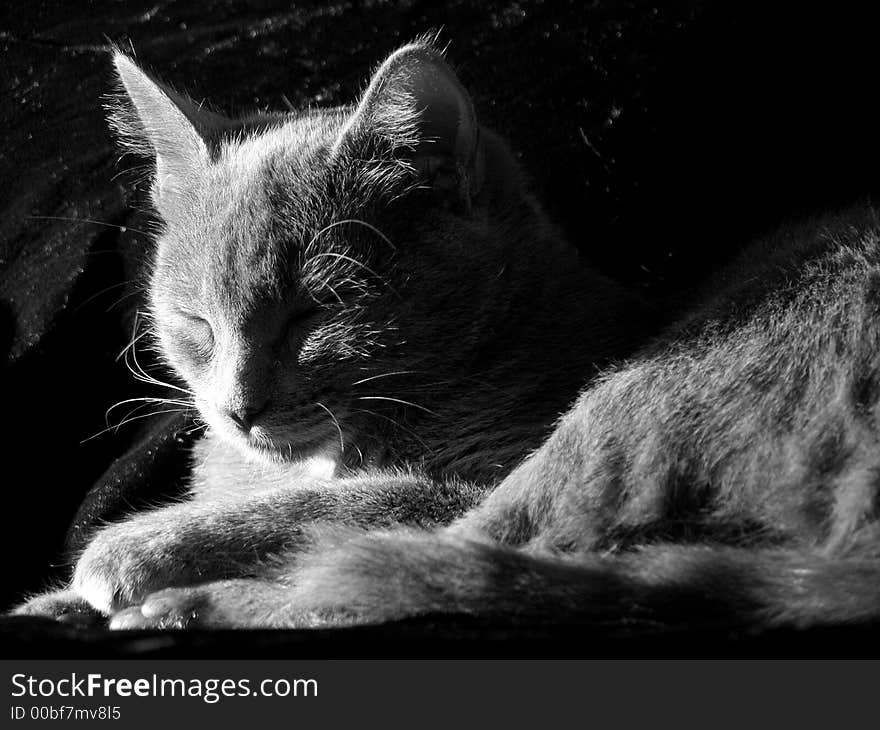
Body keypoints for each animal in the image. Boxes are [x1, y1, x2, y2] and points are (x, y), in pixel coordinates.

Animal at [15, 41, 880, 632]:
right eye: (195, 319)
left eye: (315, 311)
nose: (237, 408)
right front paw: (60, 597)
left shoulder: (469, 471)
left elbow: (343, 504)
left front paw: (134, 552)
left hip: (639, 400)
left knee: (416, 568)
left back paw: (180, 602)